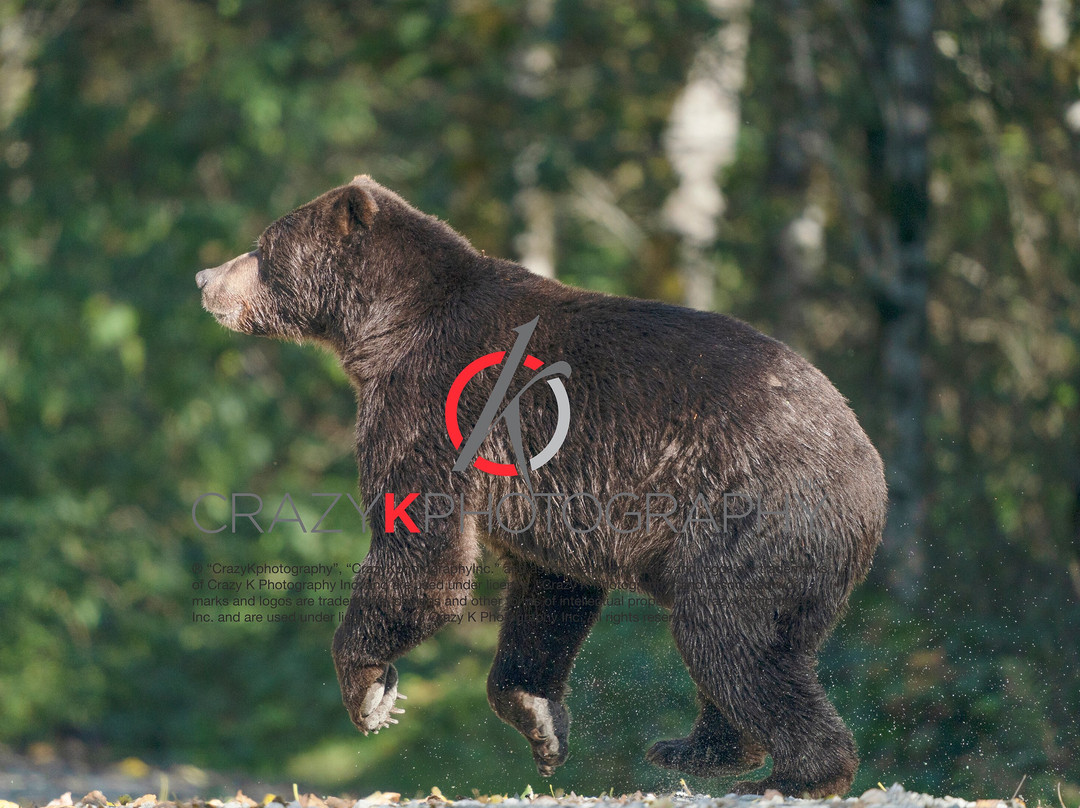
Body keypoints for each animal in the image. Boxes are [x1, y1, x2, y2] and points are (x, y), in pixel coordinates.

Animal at [196, 175, 887, 798]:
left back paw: (796, 772)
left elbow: (421, 547)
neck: (381, 329)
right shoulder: (543, 496)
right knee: (750, 644)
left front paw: (369, 690)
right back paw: (697, 748)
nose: (205, 278)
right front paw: (542, 723)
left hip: (749, 511)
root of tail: (871, 470)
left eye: (263, 246)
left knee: (728, 635)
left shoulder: (433, 405)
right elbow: (548, 592)